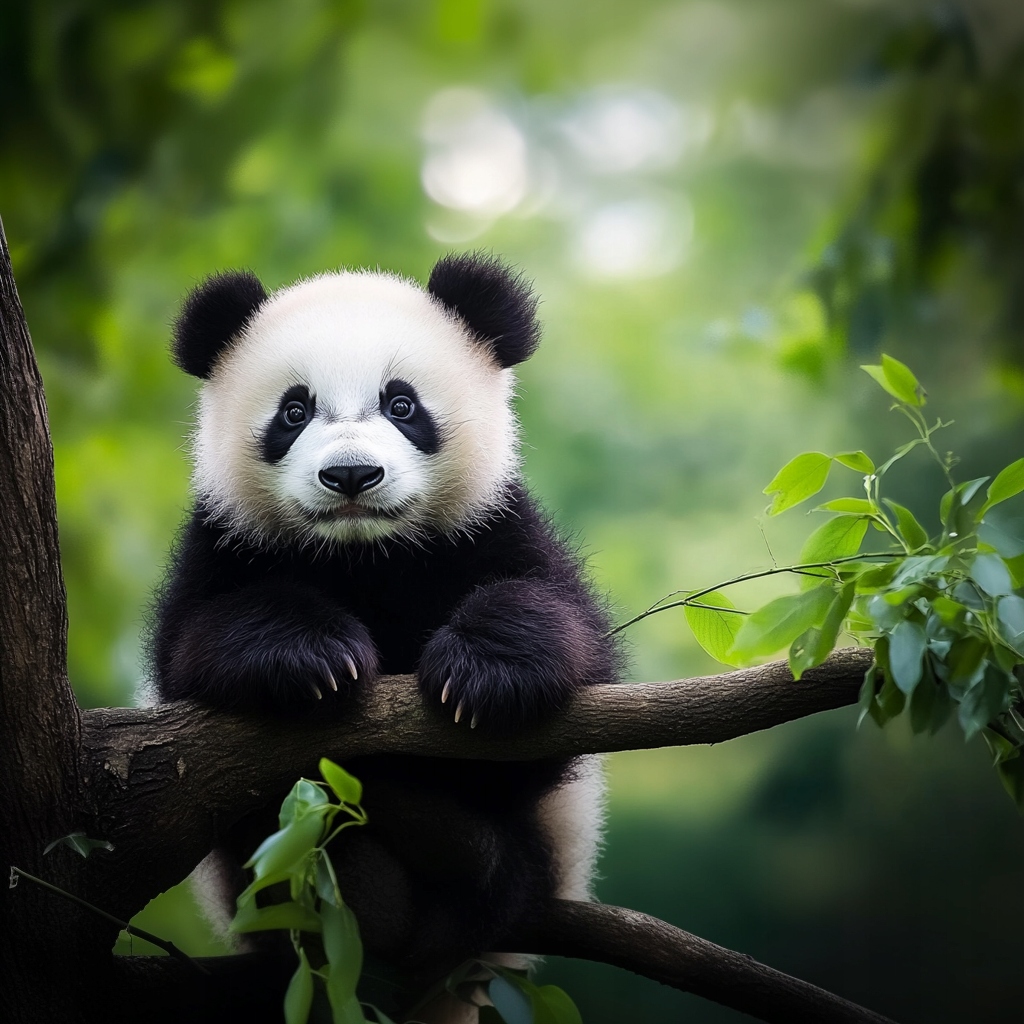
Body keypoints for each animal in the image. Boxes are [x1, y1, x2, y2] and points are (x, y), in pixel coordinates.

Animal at [151, 253, 619, 1009]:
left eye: (402, 405)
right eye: (294, 411)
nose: (350, 475)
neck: (364, 555)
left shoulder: (491, 524)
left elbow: (560, 634)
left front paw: (481, 674)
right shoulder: (224, 542)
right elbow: (194, 652)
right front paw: (314, 659)